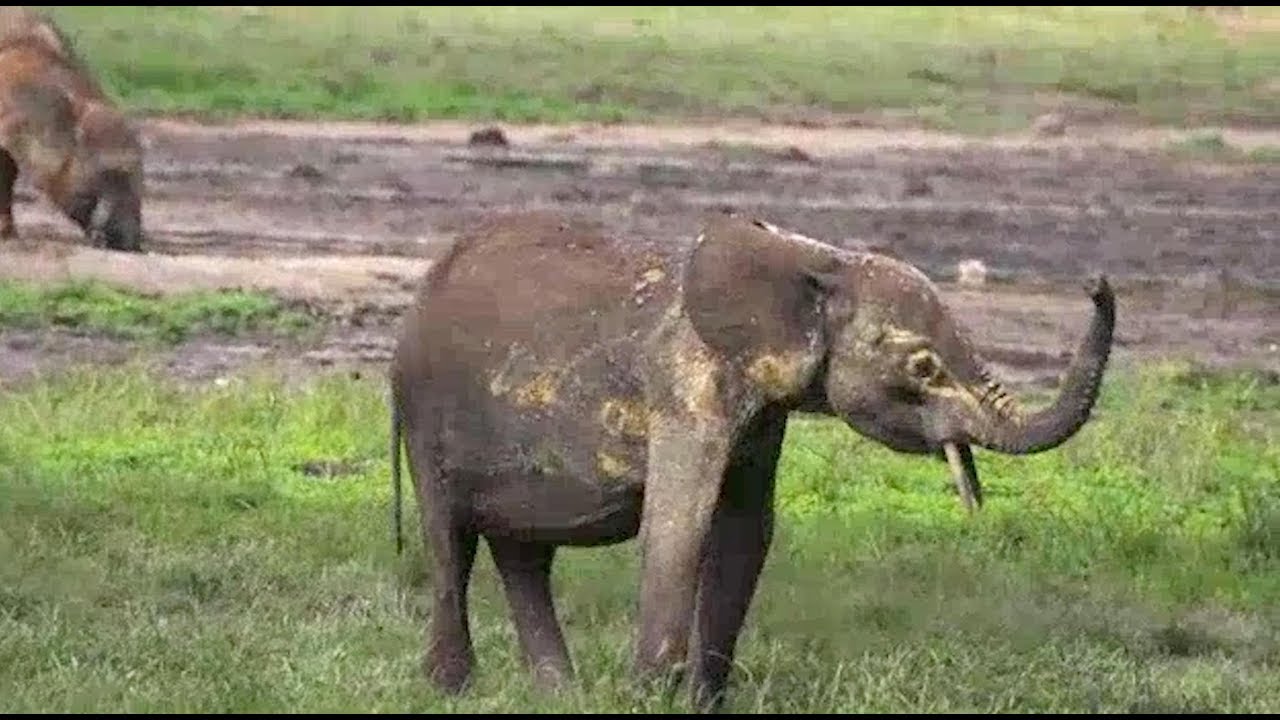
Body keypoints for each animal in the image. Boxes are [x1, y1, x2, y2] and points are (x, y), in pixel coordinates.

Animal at [387, 209, 1116, 712]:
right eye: (923, 367)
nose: (1095, 280)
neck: (813, 261)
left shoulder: (763, 413)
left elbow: (744, 536)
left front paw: (704, 703)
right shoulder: (686, 386)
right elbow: (679, 528)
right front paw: (648, 698)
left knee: (523, 553)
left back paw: (558, 694)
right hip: (421, 410)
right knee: (450, 538)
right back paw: (452, 689)